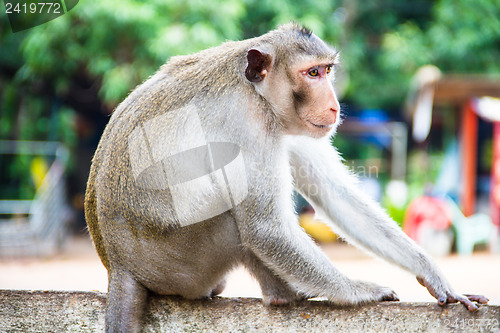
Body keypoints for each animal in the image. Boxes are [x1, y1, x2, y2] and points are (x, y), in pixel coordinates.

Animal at [86, 22, 488, 330]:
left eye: (327, 70)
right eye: (312, 73)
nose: (334, 105)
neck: (256, 91)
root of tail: (118, 267)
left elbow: (334, 193)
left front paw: (434, 276)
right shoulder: (248, 123)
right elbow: (265, 227)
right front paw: (356, 291)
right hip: (179, 265)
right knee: (233, 219)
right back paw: (284, 295)